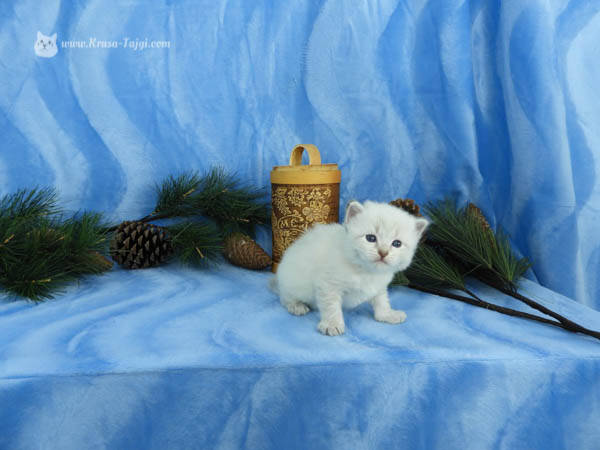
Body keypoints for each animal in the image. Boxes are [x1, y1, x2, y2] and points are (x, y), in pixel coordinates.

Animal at [272, 200, 428, 336]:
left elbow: (382, 300)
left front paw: (387, 315)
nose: (383, 253)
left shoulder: (379, 286)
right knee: (285, 298)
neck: (365, 270)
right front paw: (332, 324)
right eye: (371, 238)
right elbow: (331, 306)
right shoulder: (328, 285)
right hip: (292, 282)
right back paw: (296, 306)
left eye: (396, 244)